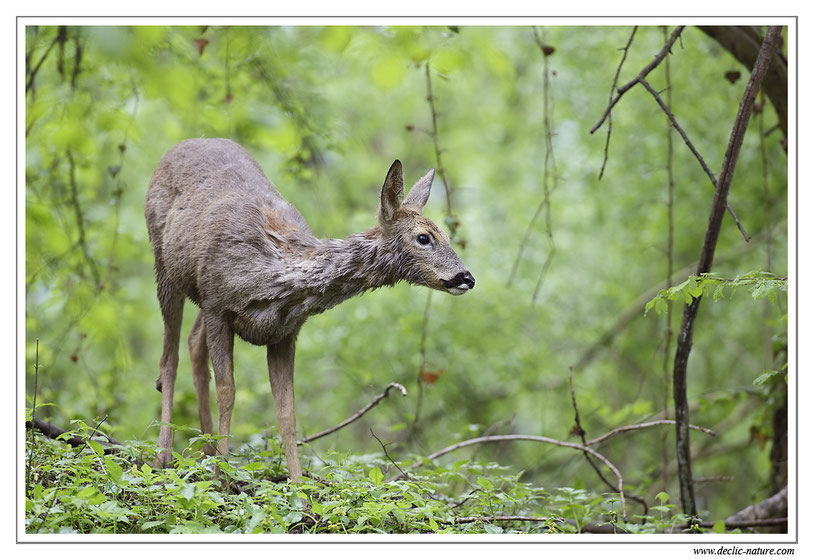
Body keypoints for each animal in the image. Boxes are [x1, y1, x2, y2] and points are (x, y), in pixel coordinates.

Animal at [143, 138, 474, 480]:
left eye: (447, 235)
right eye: (424, 237)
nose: (466, 277)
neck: (276, 276)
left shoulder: (285, 332)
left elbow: (287, 412)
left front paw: (298, 487)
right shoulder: (217, 306)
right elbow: (227, 392)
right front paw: (223, 478)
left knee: (193, 343)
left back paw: (205, 451)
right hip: (164, 265)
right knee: (169, 357)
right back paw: (163, 456)